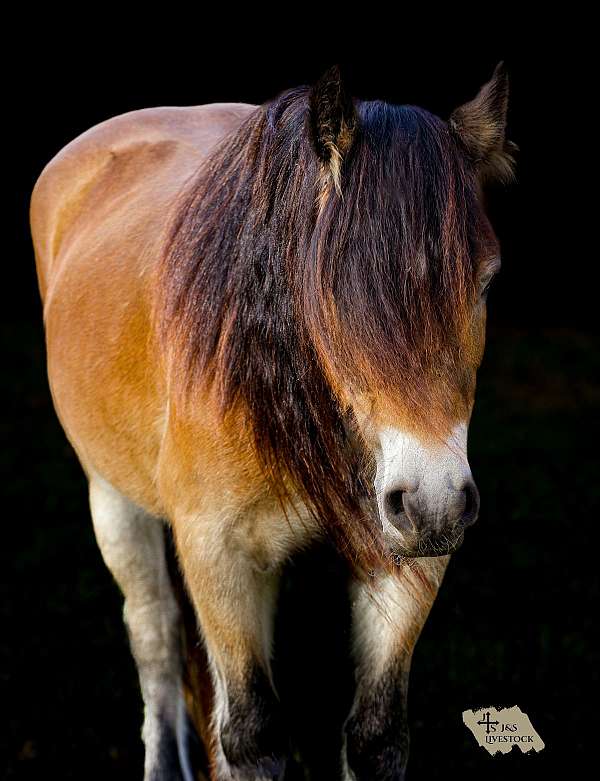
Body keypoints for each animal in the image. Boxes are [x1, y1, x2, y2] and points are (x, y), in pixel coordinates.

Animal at [30, 64, 514, 780]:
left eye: (484, 284)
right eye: (335, 284)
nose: (434, 504)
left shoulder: (410, 562)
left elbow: (376, 737)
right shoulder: (219, 556)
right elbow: (251, 735)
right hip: (112, 499)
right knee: (154, 638)